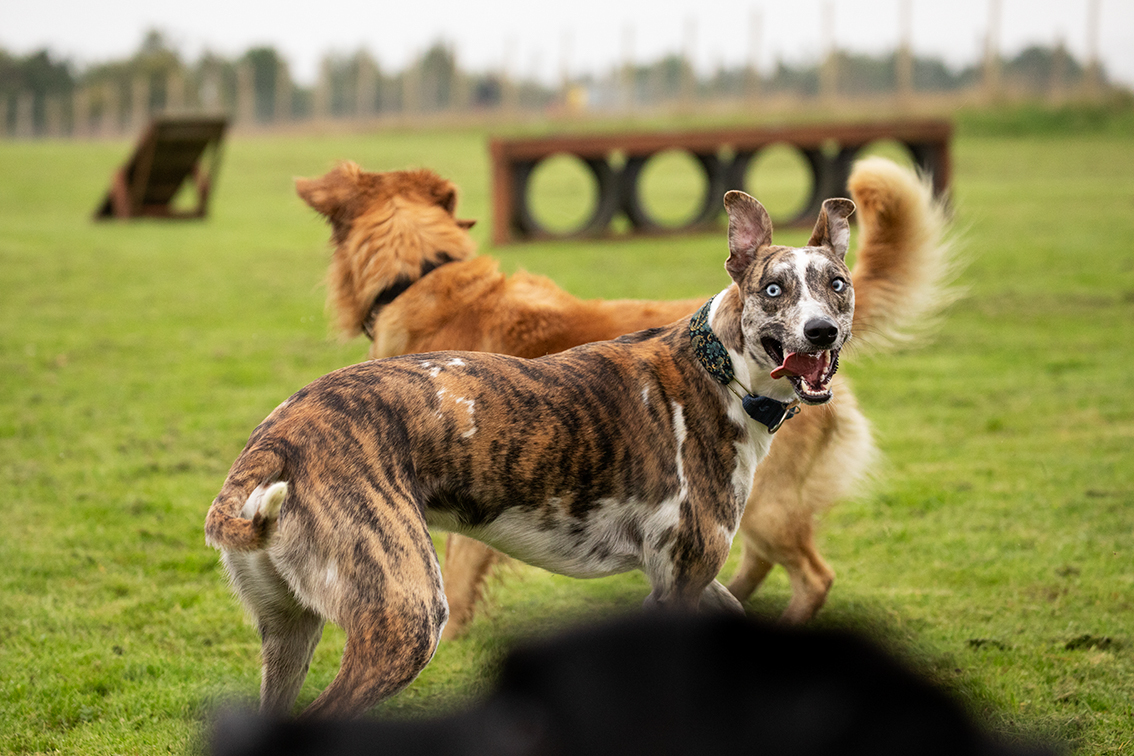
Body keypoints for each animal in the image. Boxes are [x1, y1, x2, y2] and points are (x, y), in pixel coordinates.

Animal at [208, 192, 852, 720]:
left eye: (837, 285)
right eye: (774, 289)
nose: (821, 332)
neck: (719, 368)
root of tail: (274, 444)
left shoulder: (682, 578)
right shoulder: (678, 583)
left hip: (290, 634)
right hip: (407, 620)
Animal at [292, 158, 948, 639]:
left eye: (833, 285)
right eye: (773, 289)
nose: (821, 332)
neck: (423, 277)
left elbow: (455, 587)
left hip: (768, 508)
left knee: (813, 576)